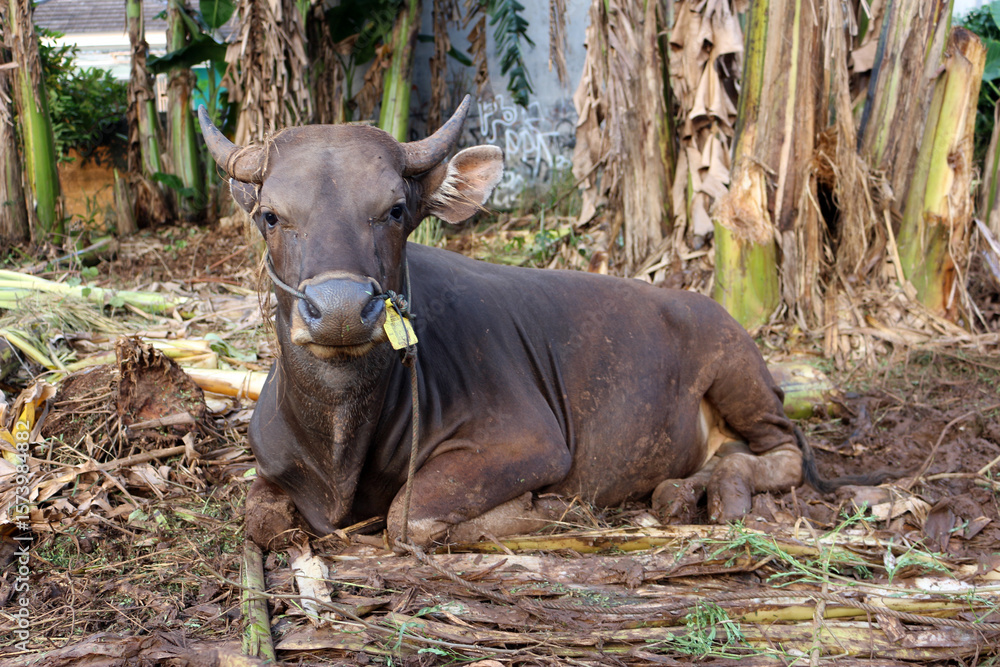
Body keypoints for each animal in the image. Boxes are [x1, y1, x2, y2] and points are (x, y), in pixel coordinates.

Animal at [199, 98, 878, 549]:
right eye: (270, 215)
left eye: (394, 210)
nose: (339, 308)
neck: (340, 439)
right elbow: (259, 520)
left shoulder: (528, 443)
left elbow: (407, 515)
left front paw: (553, 511)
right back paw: (683, 491)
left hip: (740, 374)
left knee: (783, 451)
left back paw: (718, 491)